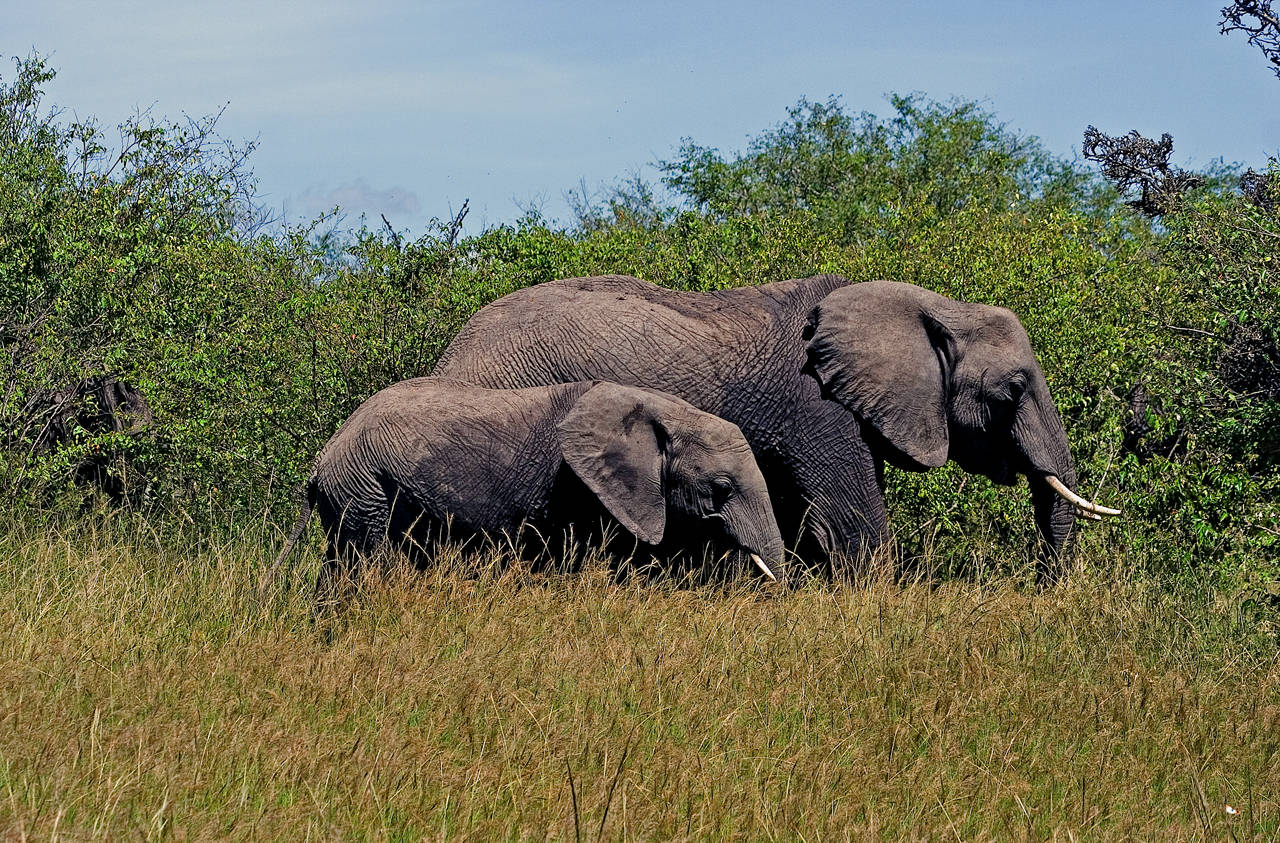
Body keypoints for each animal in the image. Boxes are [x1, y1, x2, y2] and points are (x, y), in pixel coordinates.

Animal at [263, 376, 783, 601]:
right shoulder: (579, 487)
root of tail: (321, 459)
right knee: (364, 563)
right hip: (364, 488)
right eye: (721, 487)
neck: (662, 410)